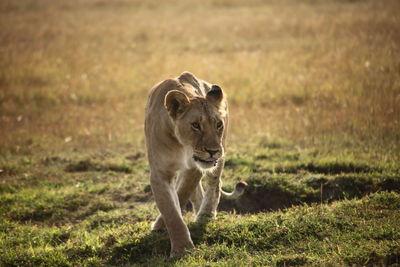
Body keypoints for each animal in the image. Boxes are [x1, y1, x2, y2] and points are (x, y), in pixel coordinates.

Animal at [145, 71, 245, 258]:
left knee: (214, 185)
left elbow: (181, 195)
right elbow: (171, 211)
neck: (181, 145)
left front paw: (180, 247)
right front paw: (182, 248)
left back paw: (205, 216)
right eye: (196, 125)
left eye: (218, 124)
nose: (213, 151)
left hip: (218, 158)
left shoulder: (194, 168)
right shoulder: (159, 173)